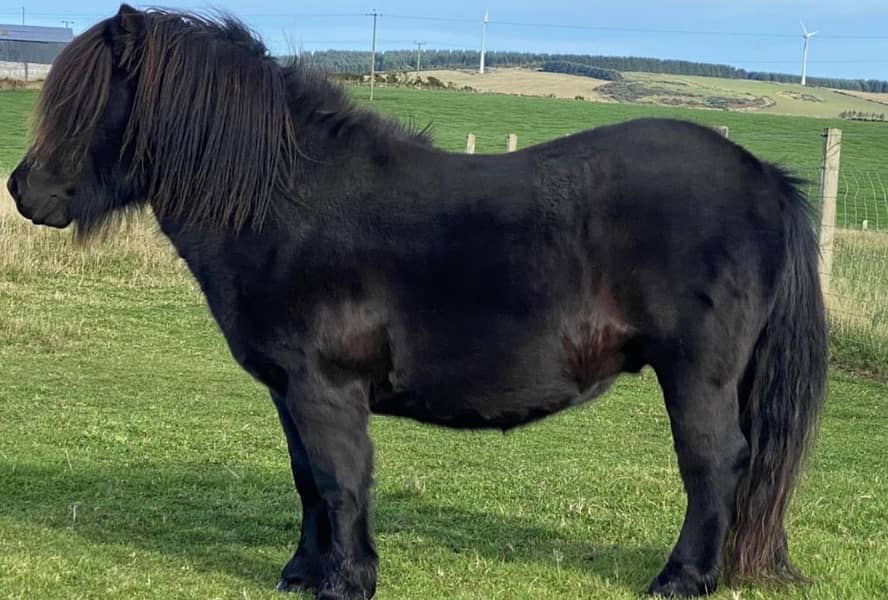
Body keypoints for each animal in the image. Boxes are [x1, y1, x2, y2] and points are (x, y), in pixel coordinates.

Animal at [7, 5, 827, 599]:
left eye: (88, 105)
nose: (24, 191)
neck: (291, 206)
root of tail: (761, 177)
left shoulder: (326, 388)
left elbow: (340, 481)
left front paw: (347, 581)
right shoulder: (288, 391)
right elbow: (308, 480)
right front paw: (302, 574)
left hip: (697, 376)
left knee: (713, 463)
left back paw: (681, 580)